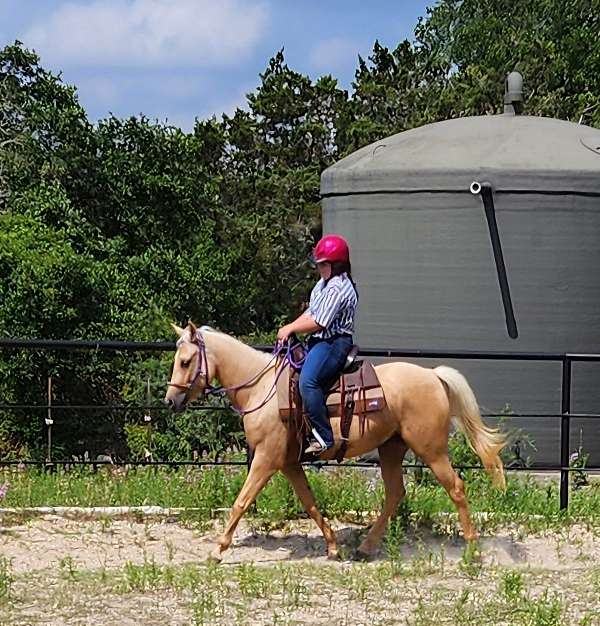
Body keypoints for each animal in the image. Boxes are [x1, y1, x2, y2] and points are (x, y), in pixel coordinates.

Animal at [164, 322, 506, 560]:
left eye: (185, 361)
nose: (170, 401)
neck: (262, 387)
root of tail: (433, 376)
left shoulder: (266, 458)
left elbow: (242, 501)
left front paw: (218, 550)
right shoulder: (288, 462)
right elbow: (310, 502)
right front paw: (331, 546)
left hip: (431, 449)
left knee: (456, 488)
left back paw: (472, 551)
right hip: (391, 448)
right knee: (395, 493)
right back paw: (365, 548)